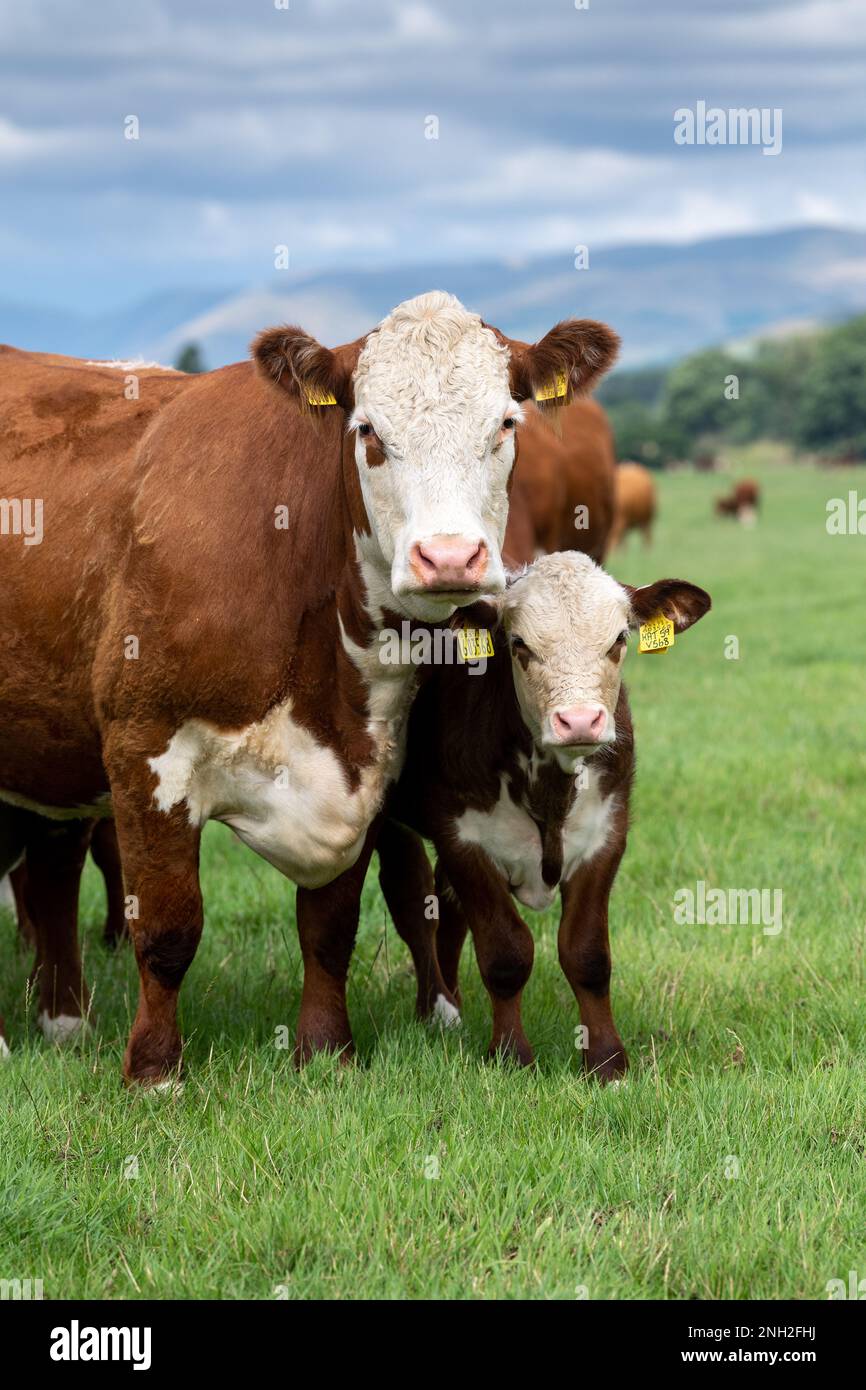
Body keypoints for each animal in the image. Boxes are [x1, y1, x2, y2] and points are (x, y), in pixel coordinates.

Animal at [0, 293, 622, 1073]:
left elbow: (330, 926)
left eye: (506, 424)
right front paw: (155, 1068)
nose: (449, 557)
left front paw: (326, 1049)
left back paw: (63, 1021)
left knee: (52, 869)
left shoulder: (366, 767)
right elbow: (169, 929)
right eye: (369, 431)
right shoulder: (145, 751)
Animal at [366, 550, 711, 1073]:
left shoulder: (606, 835)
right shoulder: (463, 838)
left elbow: (587, 954)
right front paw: (510, 1054)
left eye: (619, 640)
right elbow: (506, 953)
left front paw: (607, 1061)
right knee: (413, 903)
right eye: (519, 644)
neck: (550, 787)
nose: (579, 721)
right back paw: (437, 1009)